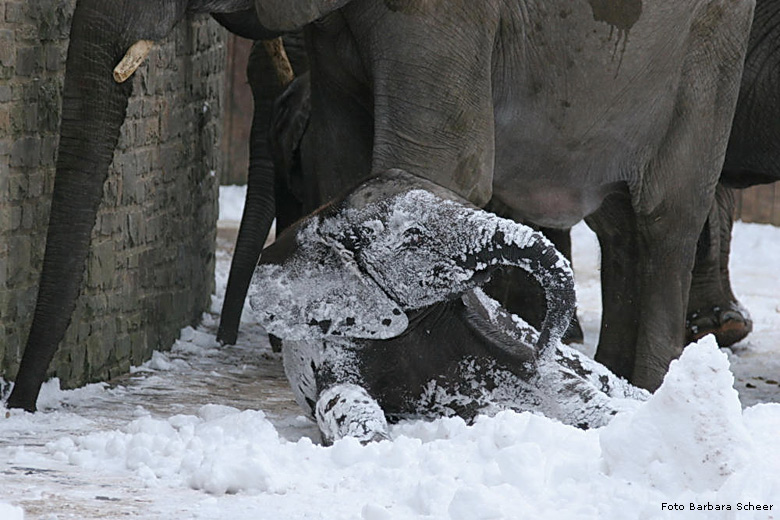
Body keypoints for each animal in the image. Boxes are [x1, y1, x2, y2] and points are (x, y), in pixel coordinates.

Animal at [250, 172, 644, 446]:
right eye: (414, 236)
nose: (543, 347)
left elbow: (552, 382)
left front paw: (621, 419)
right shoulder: (340, 337)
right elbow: (339, 398)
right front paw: (374, 443)